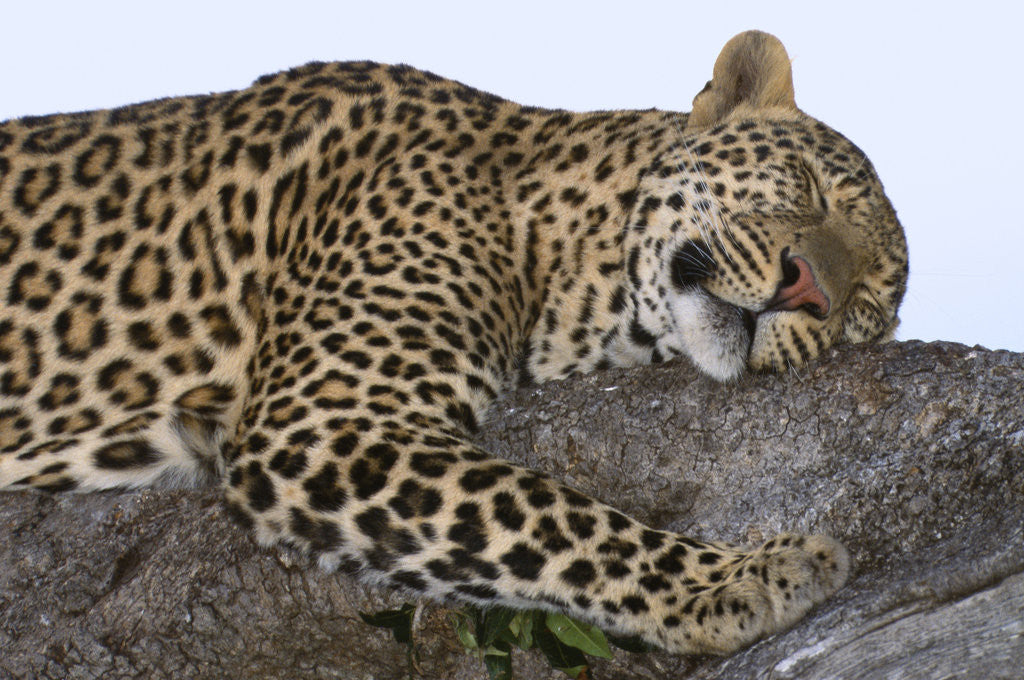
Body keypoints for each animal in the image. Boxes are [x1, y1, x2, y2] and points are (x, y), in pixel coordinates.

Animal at [0, 31, 907, 656]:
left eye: (861, 303)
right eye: (809, 188)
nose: (808, 287)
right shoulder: (323, 421)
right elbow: (549, 516)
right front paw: (744, 579)